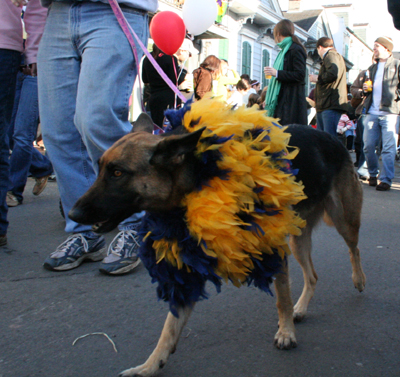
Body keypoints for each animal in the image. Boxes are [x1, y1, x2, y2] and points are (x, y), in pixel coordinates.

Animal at [69, 103, 366, 376]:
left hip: (343, 220)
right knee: (312, 276)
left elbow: (281, 296)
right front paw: (151, 365)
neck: (199, 178)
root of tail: (333, 138)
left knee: (354, 248)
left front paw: (286, 333)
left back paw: (359, 279)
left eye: (118, 173)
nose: (73, 214)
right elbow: (169, 328)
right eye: (99, 168)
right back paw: (301, 308)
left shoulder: (273, 247)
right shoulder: (188, 266)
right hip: (298, 240)